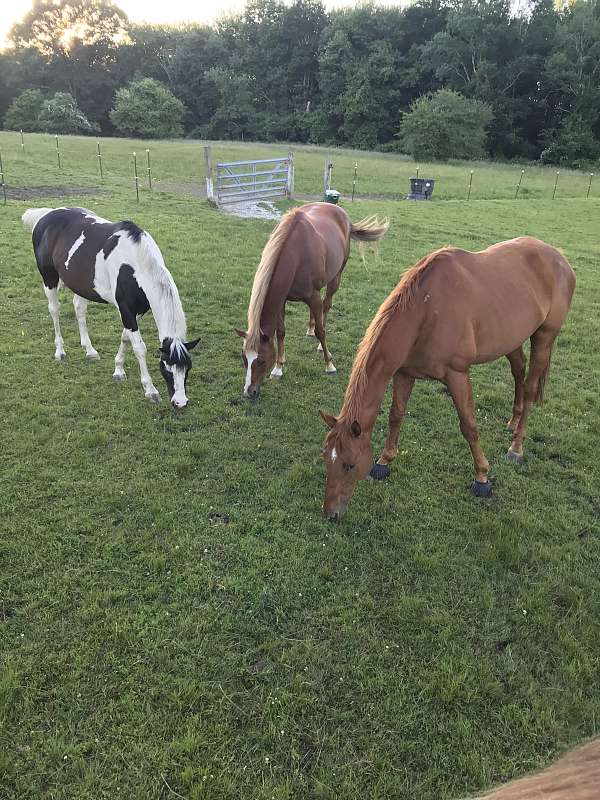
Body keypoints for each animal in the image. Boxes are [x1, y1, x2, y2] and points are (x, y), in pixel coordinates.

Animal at [22, 206, 199, 406]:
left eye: (187, 368)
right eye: (166, 367)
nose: (180, 402)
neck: (136, 263)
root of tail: (47, 214)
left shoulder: (138, 310)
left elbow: (125, 338)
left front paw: (118, 370)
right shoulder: (126, 310)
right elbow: (139, 348)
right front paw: (150, 390)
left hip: (81, 286)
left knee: (79, 309)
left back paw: (90, 350)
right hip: (49, 279)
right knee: (54, 310)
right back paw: (60, 351)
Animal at [237, 202, 386, 398]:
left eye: (261, 360)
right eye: (244, 358)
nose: (249, 392)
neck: (295, 254)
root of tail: (343, 215)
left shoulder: (313, 297)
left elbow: (321, 332)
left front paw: (329, 365)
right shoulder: (282, 301)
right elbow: (281, 332)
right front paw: (278, 368)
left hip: (335, 278)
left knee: (326, 305)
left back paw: (321, 344)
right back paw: (309, 328)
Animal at [322, 234, 576, 520]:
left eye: (349, 465)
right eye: (326, 458)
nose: (330, 513)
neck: (425, 310)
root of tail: (559, 257)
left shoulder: (457, 375)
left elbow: (469, 426)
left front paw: (482, 478)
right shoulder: (404, 373)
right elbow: (396, 415)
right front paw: (384, 461)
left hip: (545, 336)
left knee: (530, 387)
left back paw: (516, 448)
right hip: (511, 339)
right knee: (518, 372)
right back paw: (512, 421)